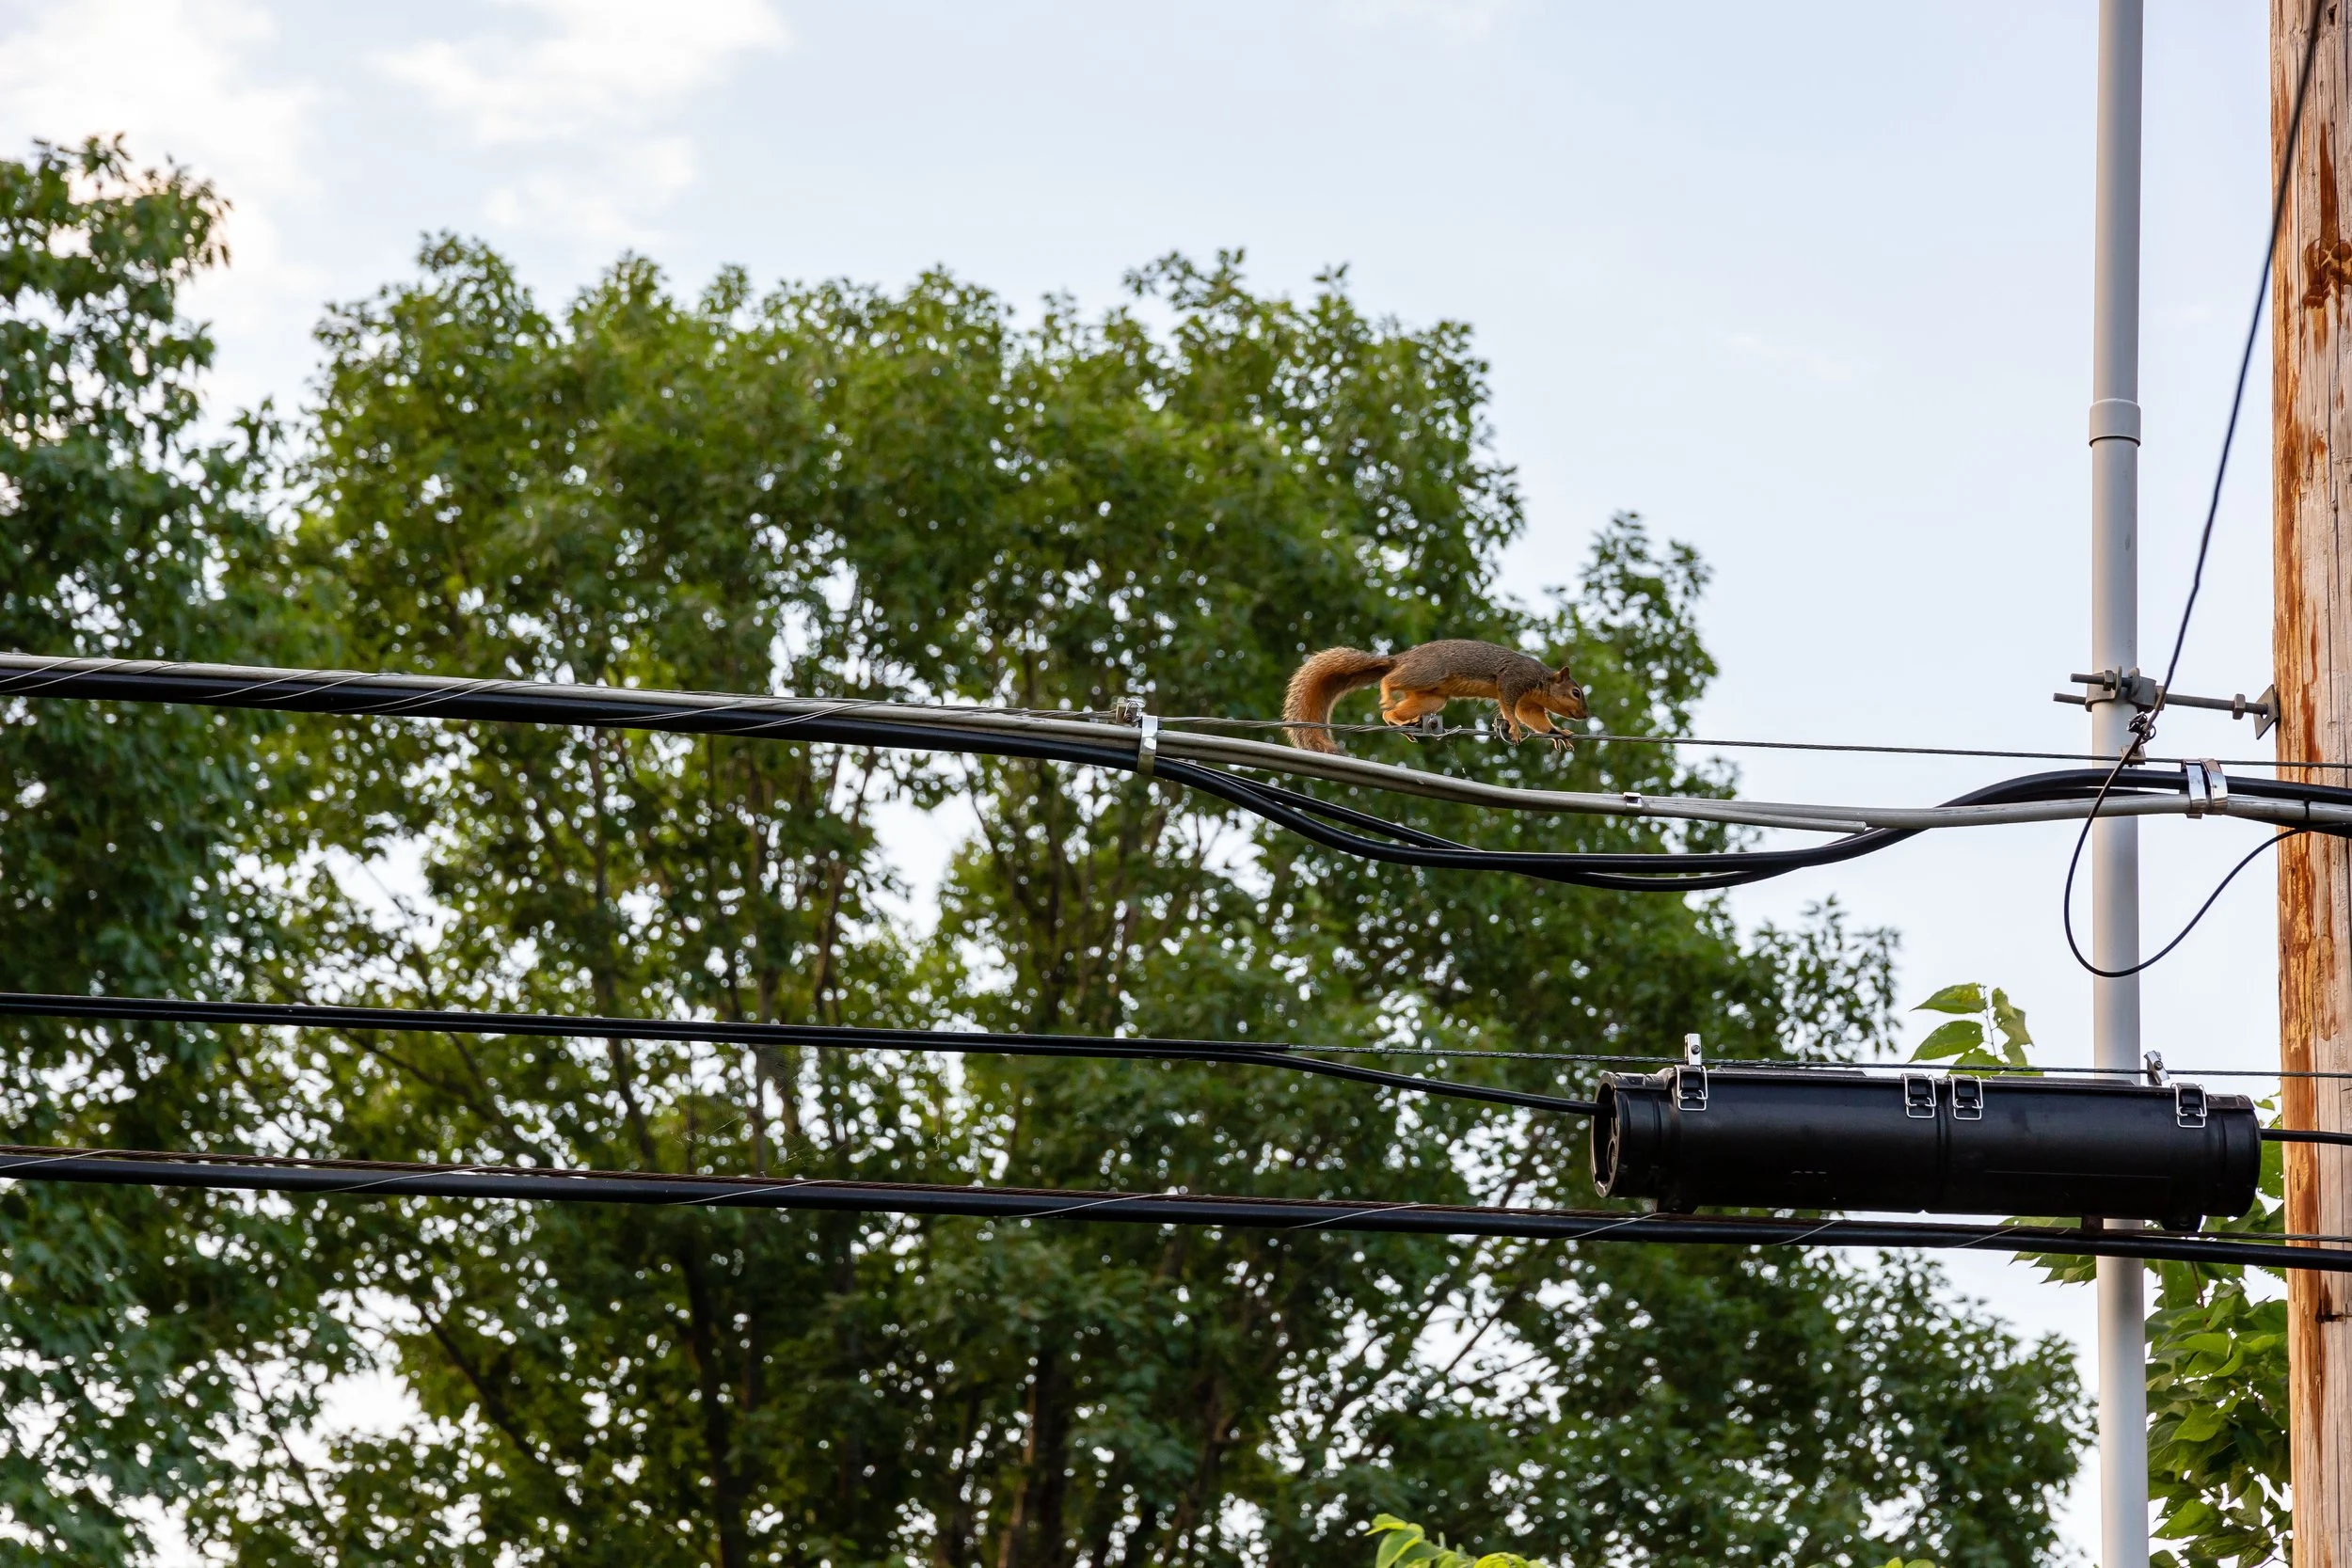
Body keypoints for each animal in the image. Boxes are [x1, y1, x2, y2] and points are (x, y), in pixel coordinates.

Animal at [1282, 639, 1589, 754]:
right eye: (1575, 692)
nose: (1585, 715)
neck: (1541, 682)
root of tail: (1402, 659)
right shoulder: (1513, 681)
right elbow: (1510, 708)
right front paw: (1512, 728)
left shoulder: (1530, 704)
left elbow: (1535, 719)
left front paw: (1558, 732)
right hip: (1428, 673)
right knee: (1389, 679)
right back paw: (1387, 691)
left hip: (1432, 698)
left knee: (1391, 713)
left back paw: (1401, 723)